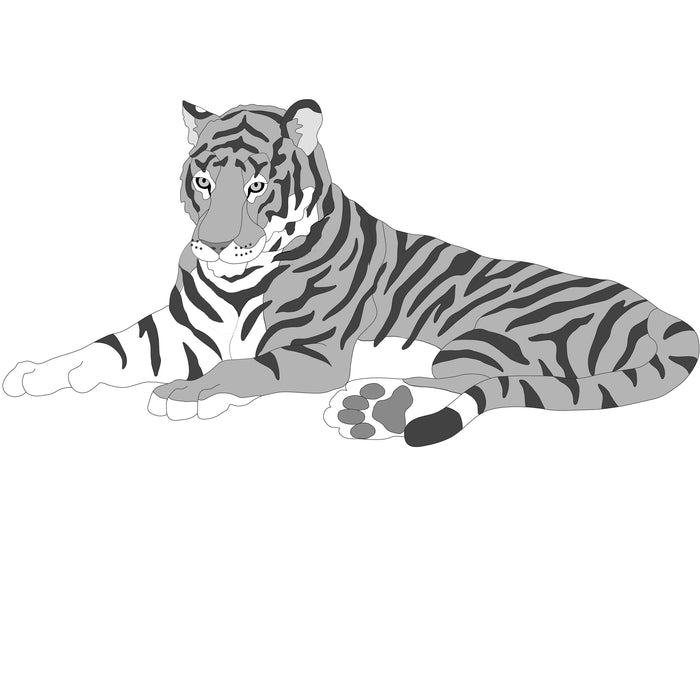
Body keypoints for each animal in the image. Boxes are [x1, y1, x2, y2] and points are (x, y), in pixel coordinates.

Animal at [3, 99, 698, 446]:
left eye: (256, 186)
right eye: (202, 182)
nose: (213, 246)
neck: (239, 278)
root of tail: (658, 310)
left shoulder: (308, 353)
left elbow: (242, 368)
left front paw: (183, 396)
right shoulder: (181, 329)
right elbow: (110, 347)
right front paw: (38, 372)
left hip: (485, 336)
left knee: (490, 381)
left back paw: (371, 407)